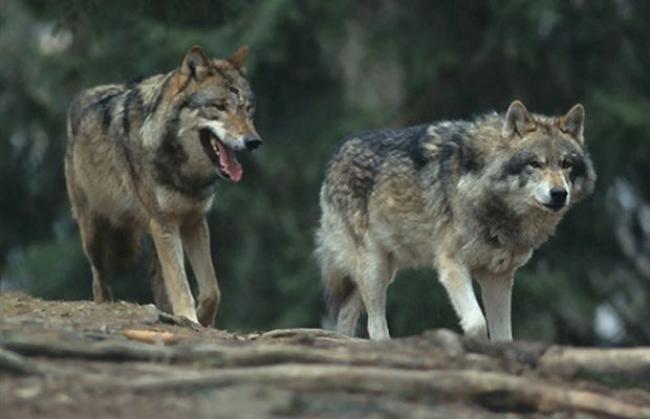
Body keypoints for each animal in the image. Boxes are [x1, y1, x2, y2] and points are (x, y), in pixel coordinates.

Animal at [64, 46, 260, 328]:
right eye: (219, 107)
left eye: (247, 109)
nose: (254, 141)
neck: (186, 172)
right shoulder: (164, 222)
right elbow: (180, 283)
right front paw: (188, 316)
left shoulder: (194, 221)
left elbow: (211, 289)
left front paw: (202, 318)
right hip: (95, 233)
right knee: (99, 277)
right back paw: (107, 302)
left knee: (157, 275)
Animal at [316, 101, 596, 342]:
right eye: (535, 164)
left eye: (566, 164)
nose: (559, 193)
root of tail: (337, 153)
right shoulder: (452, 265)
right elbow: (477, 324)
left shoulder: (498, 277)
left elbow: (505, 337)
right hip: (375, 268)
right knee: (374, 326)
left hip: (385, 268)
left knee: (346, 312)